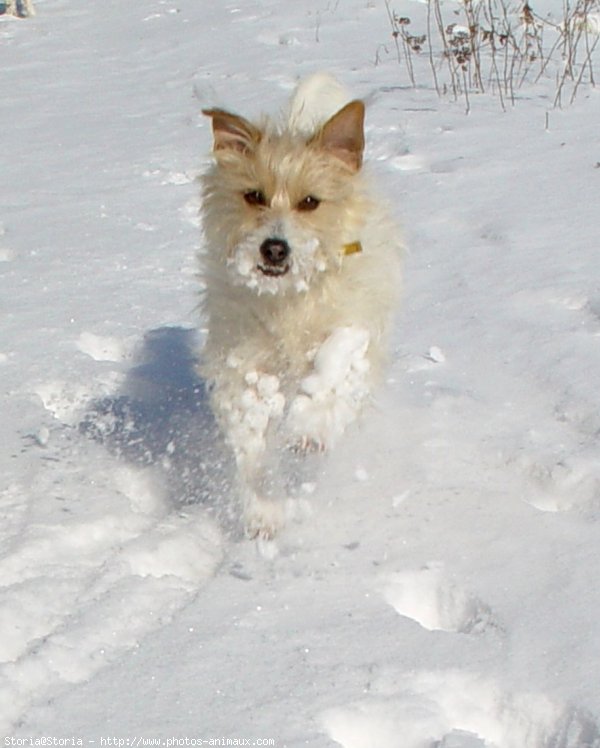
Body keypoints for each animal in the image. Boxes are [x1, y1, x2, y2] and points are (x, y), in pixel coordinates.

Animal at [199, 74, 400, 536]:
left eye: (310, 202)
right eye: (254, 195)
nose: (275, 248)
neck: (291, 296)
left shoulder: (353, 328)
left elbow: (334, 372)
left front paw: (309, 428)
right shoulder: (241, 353)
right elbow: (250, 427)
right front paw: (263, 509)